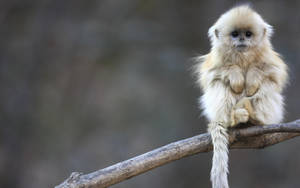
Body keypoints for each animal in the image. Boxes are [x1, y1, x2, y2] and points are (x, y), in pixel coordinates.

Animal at [195, 4, 288, 188]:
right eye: (235, 34)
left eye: (248, 34)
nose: (242, 40)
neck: (242, 56)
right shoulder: (214, 60)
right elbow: (211, 75)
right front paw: (236, 76)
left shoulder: (270, 58)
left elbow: (274, 73)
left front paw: (251, 77)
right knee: (220, 84)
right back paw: (234, 118)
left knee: (267, 85)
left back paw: (255, 117)